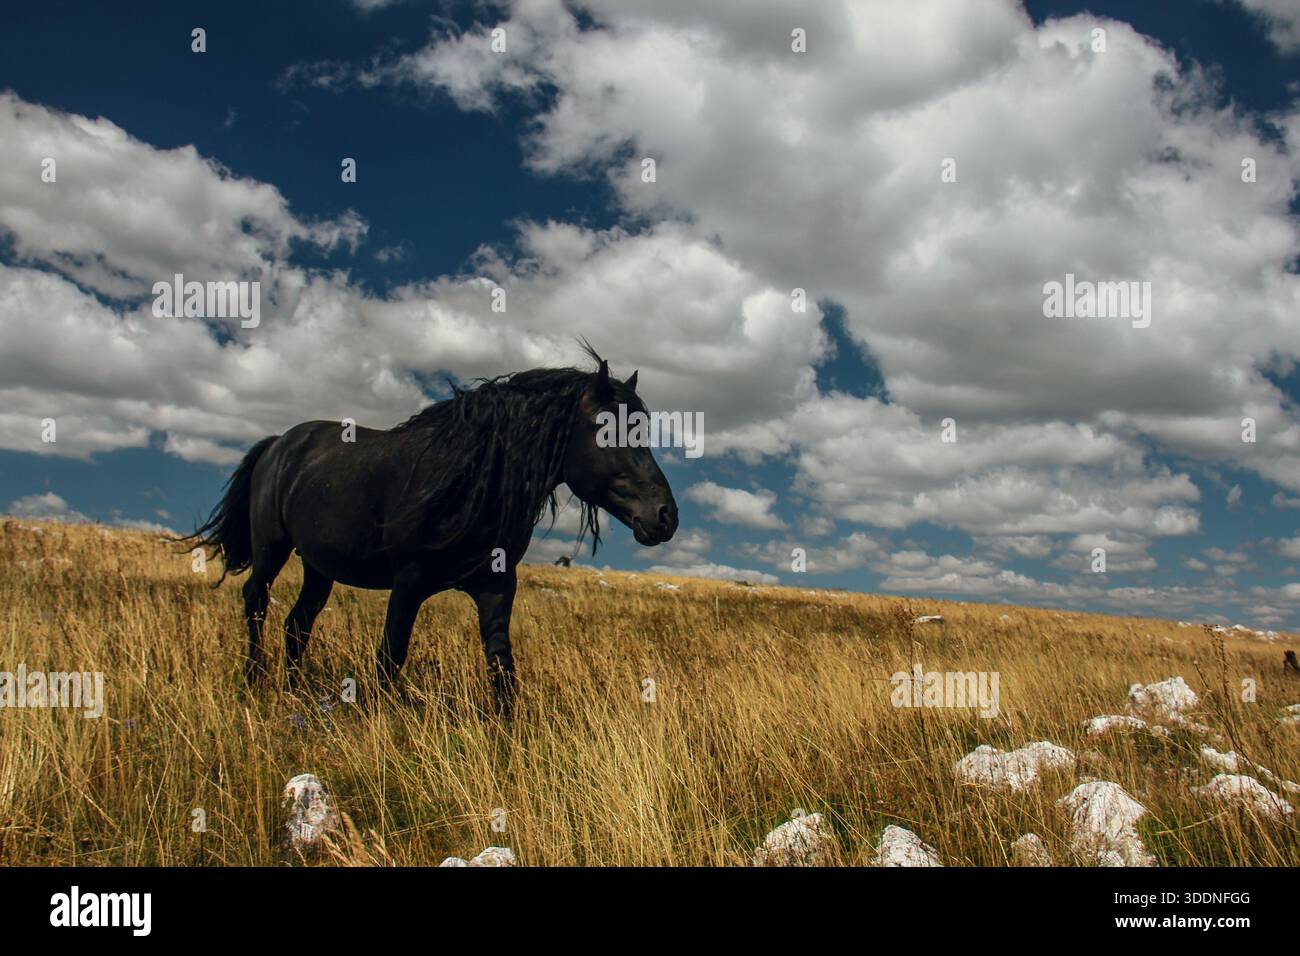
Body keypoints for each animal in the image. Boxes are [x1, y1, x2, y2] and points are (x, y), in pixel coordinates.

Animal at [184, 349, 678, 714]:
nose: (666, 516)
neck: (472, 481)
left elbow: (502, 669)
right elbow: (390, 657)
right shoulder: (409, 581)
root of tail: (279, 444)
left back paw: (293, 689)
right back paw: (254, 680)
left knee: (298, 623)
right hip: (272, 548)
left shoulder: (497, 587)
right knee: (256, 601)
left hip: (318, 566)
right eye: (607, 429)